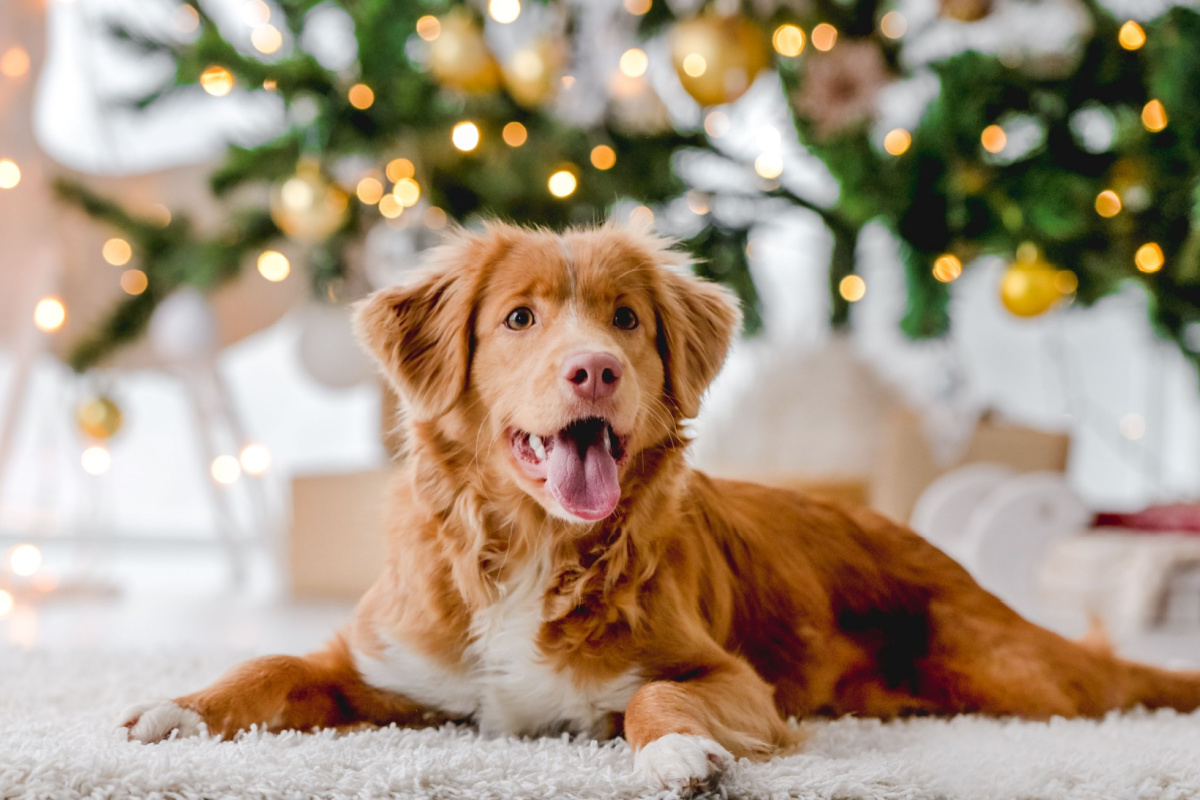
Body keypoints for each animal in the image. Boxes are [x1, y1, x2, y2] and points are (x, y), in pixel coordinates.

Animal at [119, 221, 1200, 791]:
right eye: (519, 318)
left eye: (627, 319)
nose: (594, 368)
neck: (534, 549)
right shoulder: (380, 671)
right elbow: (269, 662)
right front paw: (180, 708)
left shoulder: (734, 677)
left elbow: (655, 693)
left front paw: (679, 749)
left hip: (1023, 676)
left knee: (1113, 676)